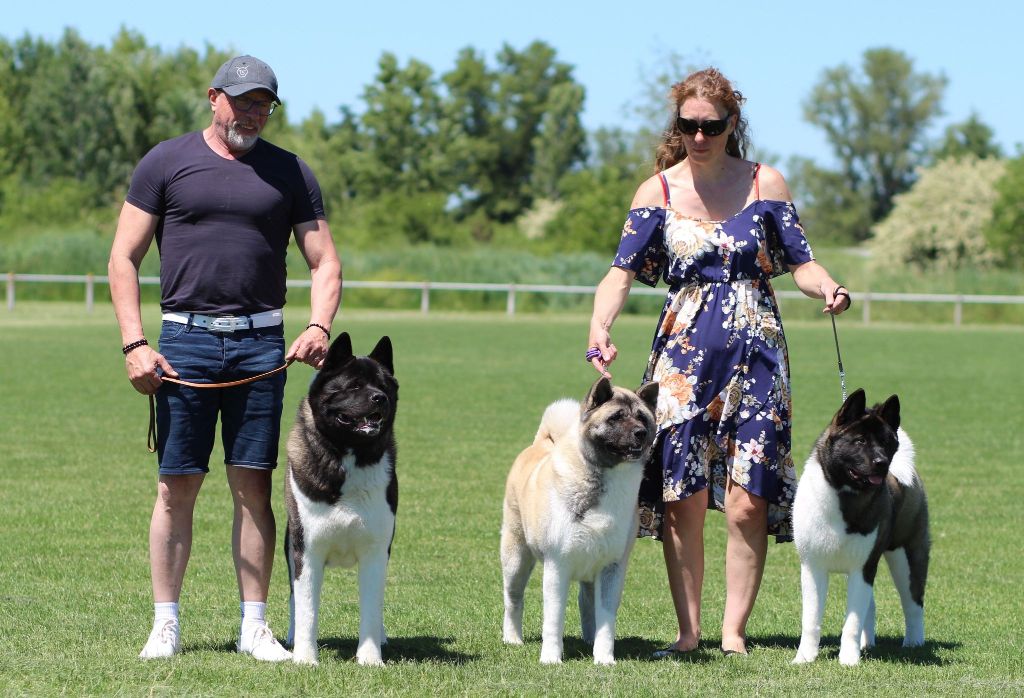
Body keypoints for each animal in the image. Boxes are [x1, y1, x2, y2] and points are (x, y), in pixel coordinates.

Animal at [288, 331, 399, 663]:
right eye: (354, 386)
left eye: (384, 386)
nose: (380, 398)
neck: (349, 455)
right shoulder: (307, 551)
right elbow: (307, 608)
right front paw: (305, 659)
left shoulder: (376, 552)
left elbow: (372, 608)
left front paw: (371, 659)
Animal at [501, 378, 659, 659]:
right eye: (616, 417)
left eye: (642, 417)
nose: (640, 432)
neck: (603, 477)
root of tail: (541, 443)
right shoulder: (557, 566)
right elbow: (553, 618)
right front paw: (551, 658)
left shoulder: (612, 568)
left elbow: (606, 618)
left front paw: (604, 658)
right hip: (515, 558)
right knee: (513, 599)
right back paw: (512, 638)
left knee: (586, 603)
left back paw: (589, 639)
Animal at [790, 388, 929, 667]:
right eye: (860, 441)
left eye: (887, 442)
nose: (882, 461)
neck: (845, 494)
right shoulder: (813, 567)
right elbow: (811, 619)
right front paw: (805, 658)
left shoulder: (862, 567)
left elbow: (852, 621)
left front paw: (848, 660)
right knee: (871, 605)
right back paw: (868, 644)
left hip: (907, 555)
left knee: (913, 602)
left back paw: (913, 642)